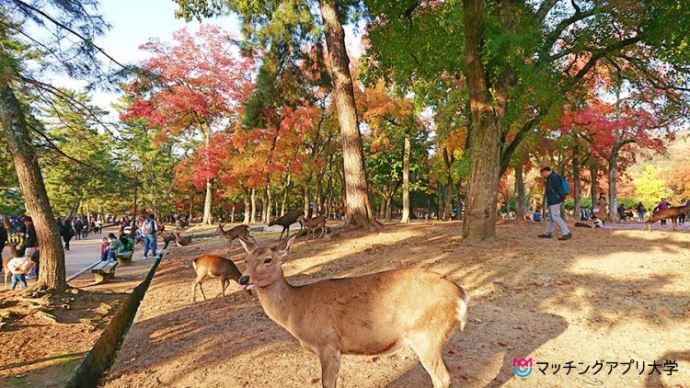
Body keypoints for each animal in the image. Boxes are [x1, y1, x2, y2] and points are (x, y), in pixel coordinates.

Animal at [236, 236, 468, 388]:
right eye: (245, 260)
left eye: (267, 259)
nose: (243, 279)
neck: (295, 310)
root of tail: (461, 296)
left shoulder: (327, 344)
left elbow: (327, 384)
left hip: (426, 333)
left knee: (442, 377)